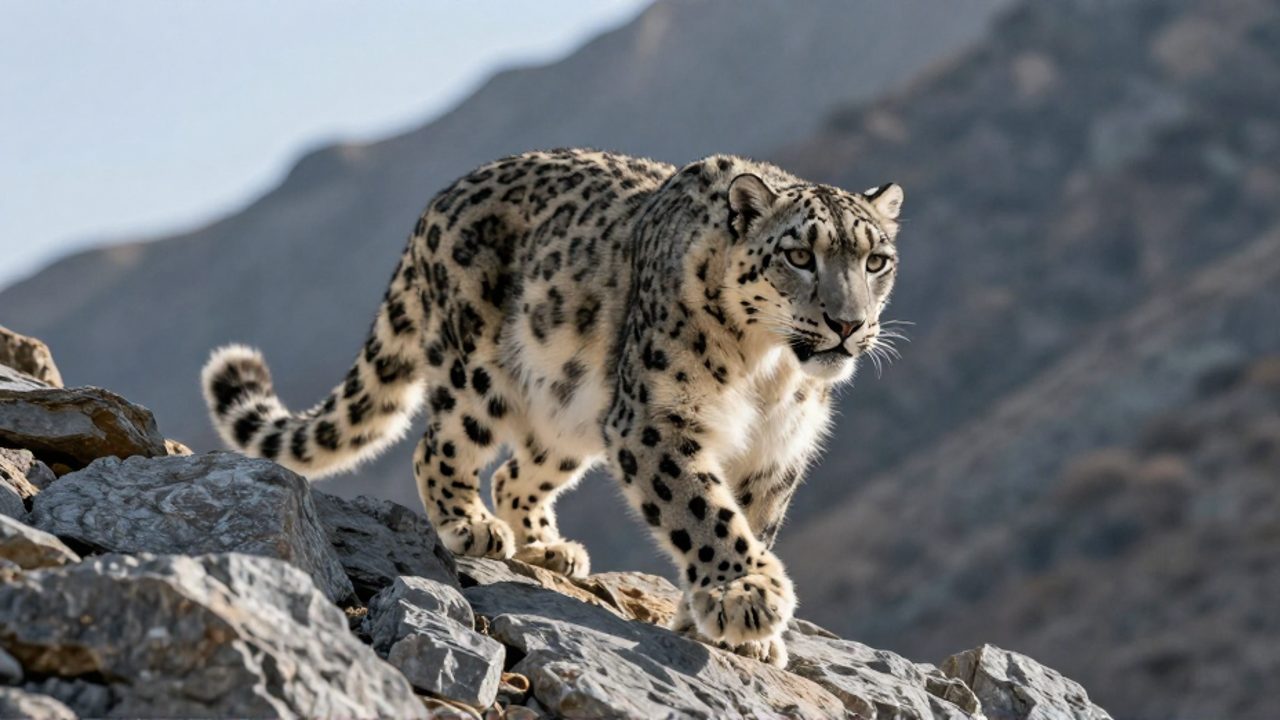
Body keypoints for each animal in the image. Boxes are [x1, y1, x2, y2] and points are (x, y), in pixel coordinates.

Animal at [201, 148, 904, 666]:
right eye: (798, 255)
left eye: (876, 260)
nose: (848, 324)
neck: (770, 371)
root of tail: (437, 202)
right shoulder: (654, 418)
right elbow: (702, 510)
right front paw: (747, 595)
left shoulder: (778, 448)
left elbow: (751, 519)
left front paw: (731, 624)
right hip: (480, 375)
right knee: (440, 445)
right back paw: (471, 525)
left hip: (570, 414)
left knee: (518, 472)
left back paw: (546, 547)